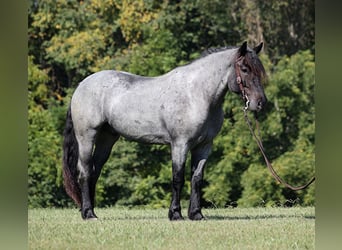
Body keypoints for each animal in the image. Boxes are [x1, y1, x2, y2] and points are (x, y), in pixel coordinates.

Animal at [63, 41, 268, 221]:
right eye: (245, 69)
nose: (260, 103)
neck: (197, 95)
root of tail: (81, 86)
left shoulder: (204, 146)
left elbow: (197, 179)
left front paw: (196, 214)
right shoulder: (180, 144)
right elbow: (178, 178)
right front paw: (175, 214)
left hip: (107, 139)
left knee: (94, 172)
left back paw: (89, 210)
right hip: (87, 137)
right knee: (85, 172)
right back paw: (88, 214)